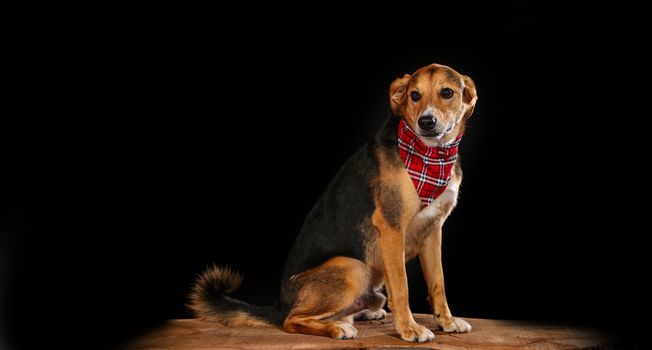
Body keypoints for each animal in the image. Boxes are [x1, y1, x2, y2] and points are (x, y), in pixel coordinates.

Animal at [188, 63, 478, 342]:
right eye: (414, 95)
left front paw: (446, 321)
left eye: (447, 92)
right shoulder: (392, 229)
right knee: (291, 321)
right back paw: (337, 328)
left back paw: (362, 314)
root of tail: (280, 304)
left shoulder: (433, 230)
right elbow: (401, 287)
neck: (432, 156)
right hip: (352, 268)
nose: (426, 122)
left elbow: (438, 283)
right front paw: (409, 328)